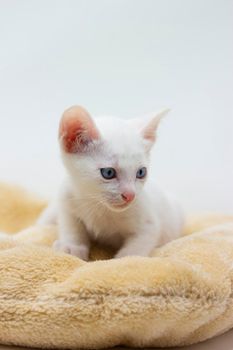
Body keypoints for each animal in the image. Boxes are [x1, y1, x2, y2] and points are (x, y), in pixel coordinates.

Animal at [38, 106, 183, 260]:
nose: (130, 195)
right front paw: (72, 247)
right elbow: (71, 226)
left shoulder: (148, 225)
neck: (98, 205)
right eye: (108, 173)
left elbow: (136, 248)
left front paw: (123, 260)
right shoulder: (67, 200)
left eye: (141, 172)